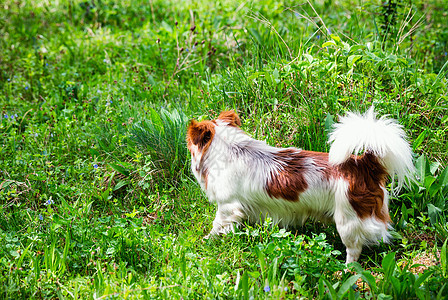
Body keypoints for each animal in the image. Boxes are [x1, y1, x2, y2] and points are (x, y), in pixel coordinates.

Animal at [186, 108, 412, 262]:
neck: (232, 150)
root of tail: (363, 164)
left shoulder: (227, 207)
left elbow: (217, 226)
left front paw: (207, 240)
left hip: (348, 221)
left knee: (354, 250)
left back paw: (347, 270)